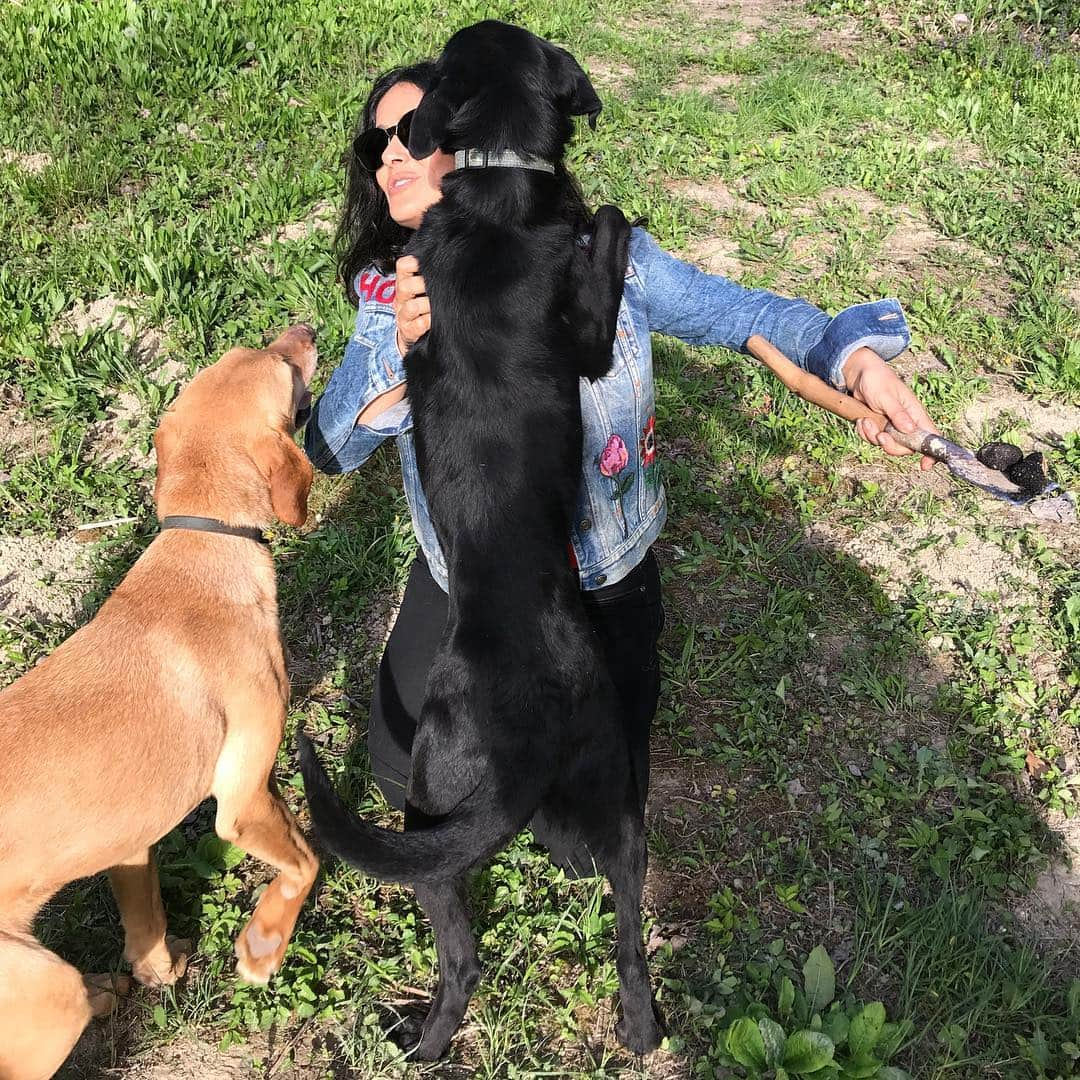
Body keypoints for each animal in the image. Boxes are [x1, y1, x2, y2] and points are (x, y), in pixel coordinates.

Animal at [0, 326, 319, 1080]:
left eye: (251, 352)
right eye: (283, 366)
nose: (308, 330)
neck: (203, 541)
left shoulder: (131, 841)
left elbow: (146, 932)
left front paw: (158, 971)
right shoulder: (240, 800)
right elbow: (307, 862)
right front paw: (263, 945)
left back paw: (106, 991)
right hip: (41, 998)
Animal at [300, 21, 660, 1058]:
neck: (498, 172)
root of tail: (525, 741)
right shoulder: (583, 340)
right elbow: (601, 229)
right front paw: (608, 215)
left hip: (487, 810)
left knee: (523, 948)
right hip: (551, 802)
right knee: (567, 937)